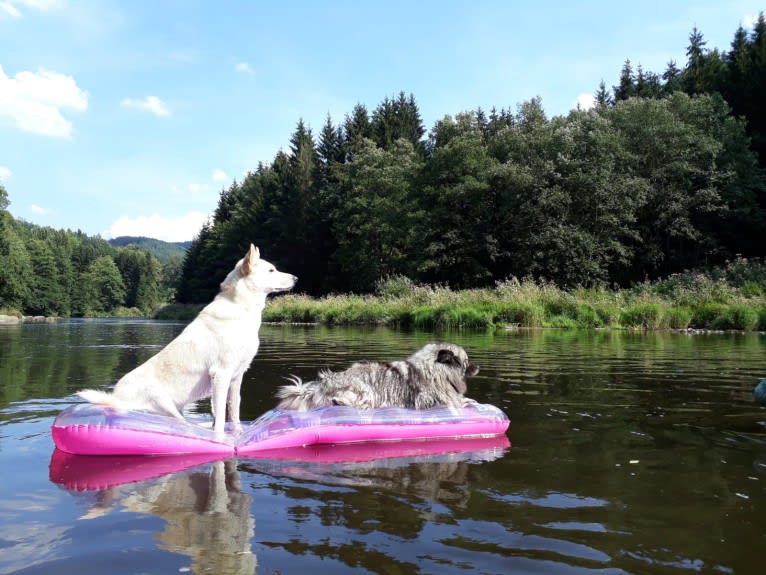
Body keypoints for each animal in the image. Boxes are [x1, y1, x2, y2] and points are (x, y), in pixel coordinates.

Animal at [76, 244, 296, 436]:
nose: (296, 277)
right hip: (161, 400)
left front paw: (238, 433)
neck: (241, 308)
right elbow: (220, 417)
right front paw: (221, 439)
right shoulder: (221, 374)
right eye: (271, 270)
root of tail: (116, 400)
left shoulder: (236, 377)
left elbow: (234, 411)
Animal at [276, 344, 480, 412]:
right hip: (365, 389)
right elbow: (460, 400)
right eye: (467, 361)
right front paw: (470, 401)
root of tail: (325, 383)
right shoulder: (430, 400)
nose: (477, 367)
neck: (438, 370)